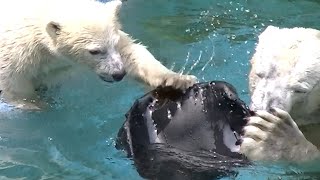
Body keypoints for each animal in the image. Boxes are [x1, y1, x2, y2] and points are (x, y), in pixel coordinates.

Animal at [0, 0, 196, 109]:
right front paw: (39, 106)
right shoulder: (17, 54)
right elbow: (15, 87)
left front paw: (176, 80)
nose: (119, 74)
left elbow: (132, 51)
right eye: (94, 51)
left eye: (114, 43)